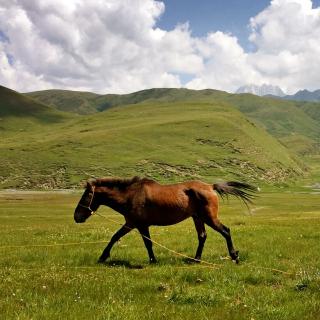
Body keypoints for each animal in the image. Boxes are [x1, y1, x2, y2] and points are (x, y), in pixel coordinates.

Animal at [74, 176, 256, 264]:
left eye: (86, 195)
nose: (76, 217)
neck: (130, 196)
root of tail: (210, 187)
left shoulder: (138, 225)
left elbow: (146, 243)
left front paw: (153, 260)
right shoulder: (132, 224)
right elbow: (116, 237)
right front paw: (103, 256)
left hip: (209, 218)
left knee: (226, 231)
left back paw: (234, 256)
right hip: (198, 218)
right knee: (202, 236)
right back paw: (196, 259)